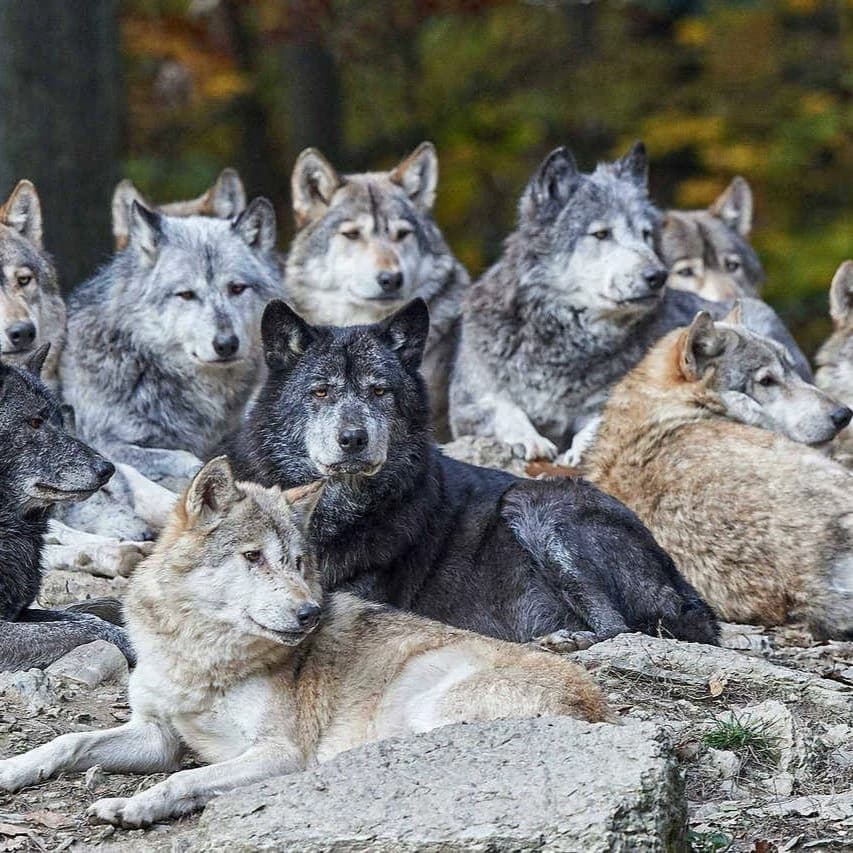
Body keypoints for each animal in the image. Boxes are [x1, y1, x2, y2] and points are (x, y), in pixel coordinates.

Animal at [0, 346, 135, 671]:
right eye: (35, 422)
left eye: (61, 422)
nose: (107, 469)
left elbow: (81, 615)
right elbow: (86, 626)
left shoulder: (19, 612)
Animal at [0, 457, 609, 828]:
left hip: (424, 709)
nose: (309, 613)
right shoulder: (157, 736)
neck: (199, 654)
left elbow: (187, 778)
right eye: (253, 557)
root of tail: (598, 712)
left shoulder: (276, 753)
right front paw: (11, 771)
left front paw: (136, 804)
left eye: (297, 562)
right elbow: (67, 742)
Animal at [221, 298, 718, 652]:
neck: (333, 515)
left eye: (379, 392)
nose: (353, 439)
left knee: (620, 629)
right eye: (320, 391)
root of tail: (688, 590)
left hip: (535, 504)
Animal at [449, 143, 811, 461]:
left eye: (646, 235)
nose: (658, 275)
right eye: (601, 234)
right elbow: (503, 409)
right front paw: (530, 439)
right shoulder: (465, 407)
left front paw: (579, 448)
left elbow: (596, 423)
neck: (561, 347)